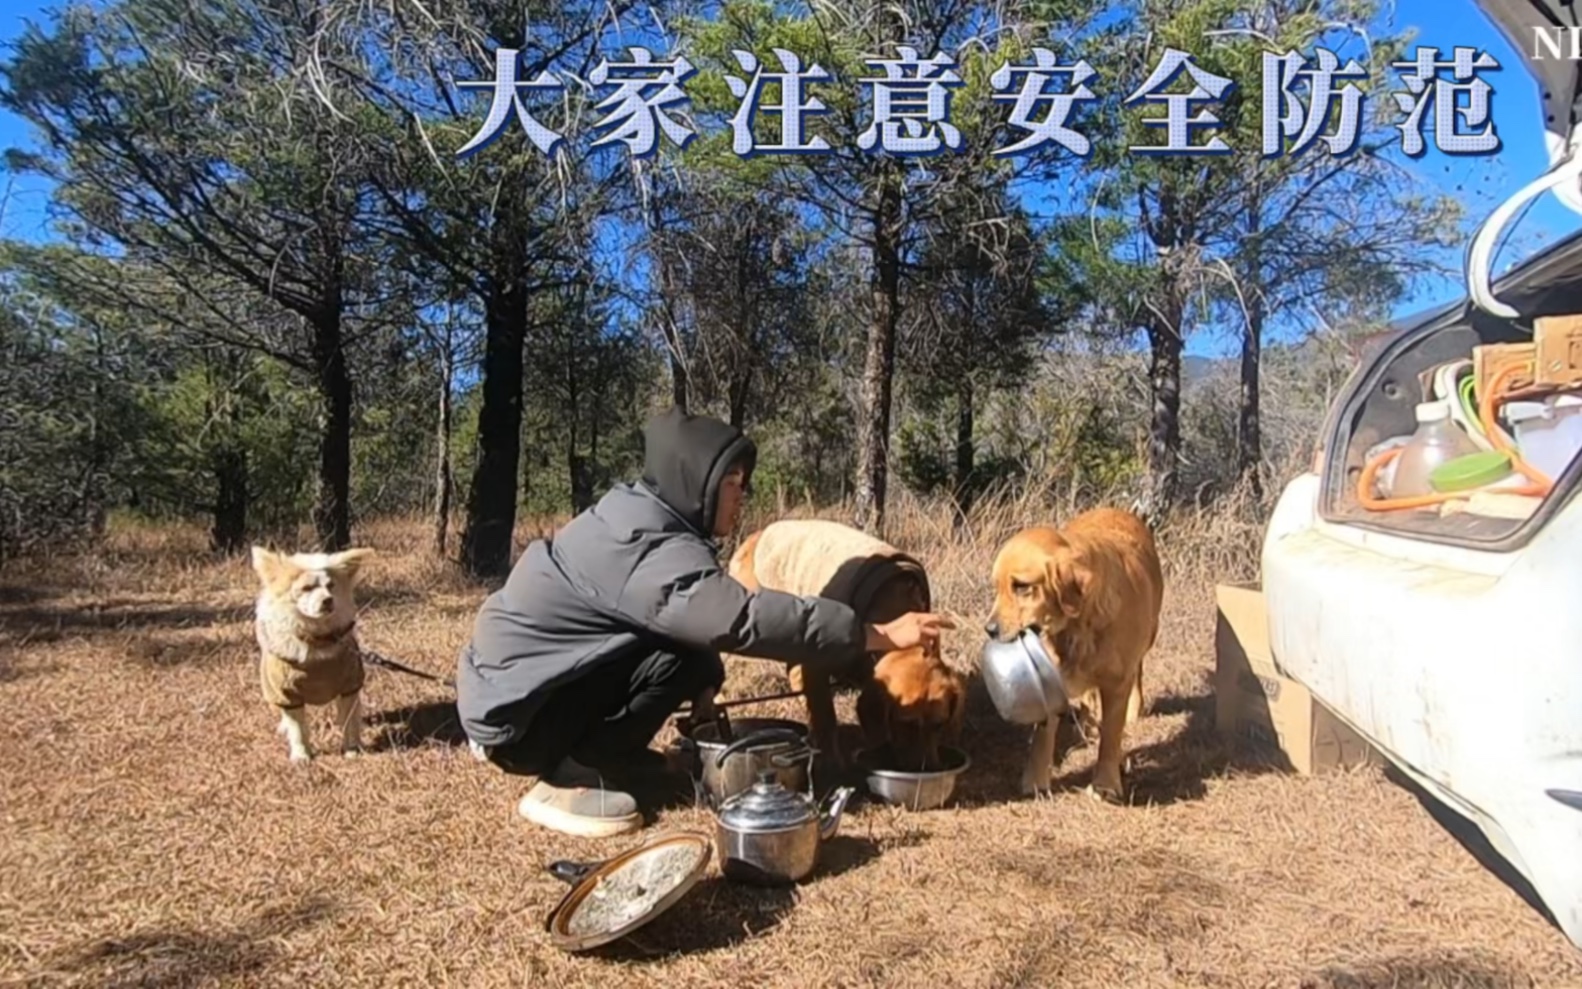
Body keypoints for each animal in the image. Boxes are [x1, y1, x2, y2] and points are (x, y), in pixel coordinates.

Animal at [727, 515, 961, 772]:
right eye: (906, 724)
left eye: (939, 724)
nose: (928, 769)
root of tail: (757, 534)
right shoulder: (816, 666)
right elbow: (826, 719)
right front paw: (832, 762)